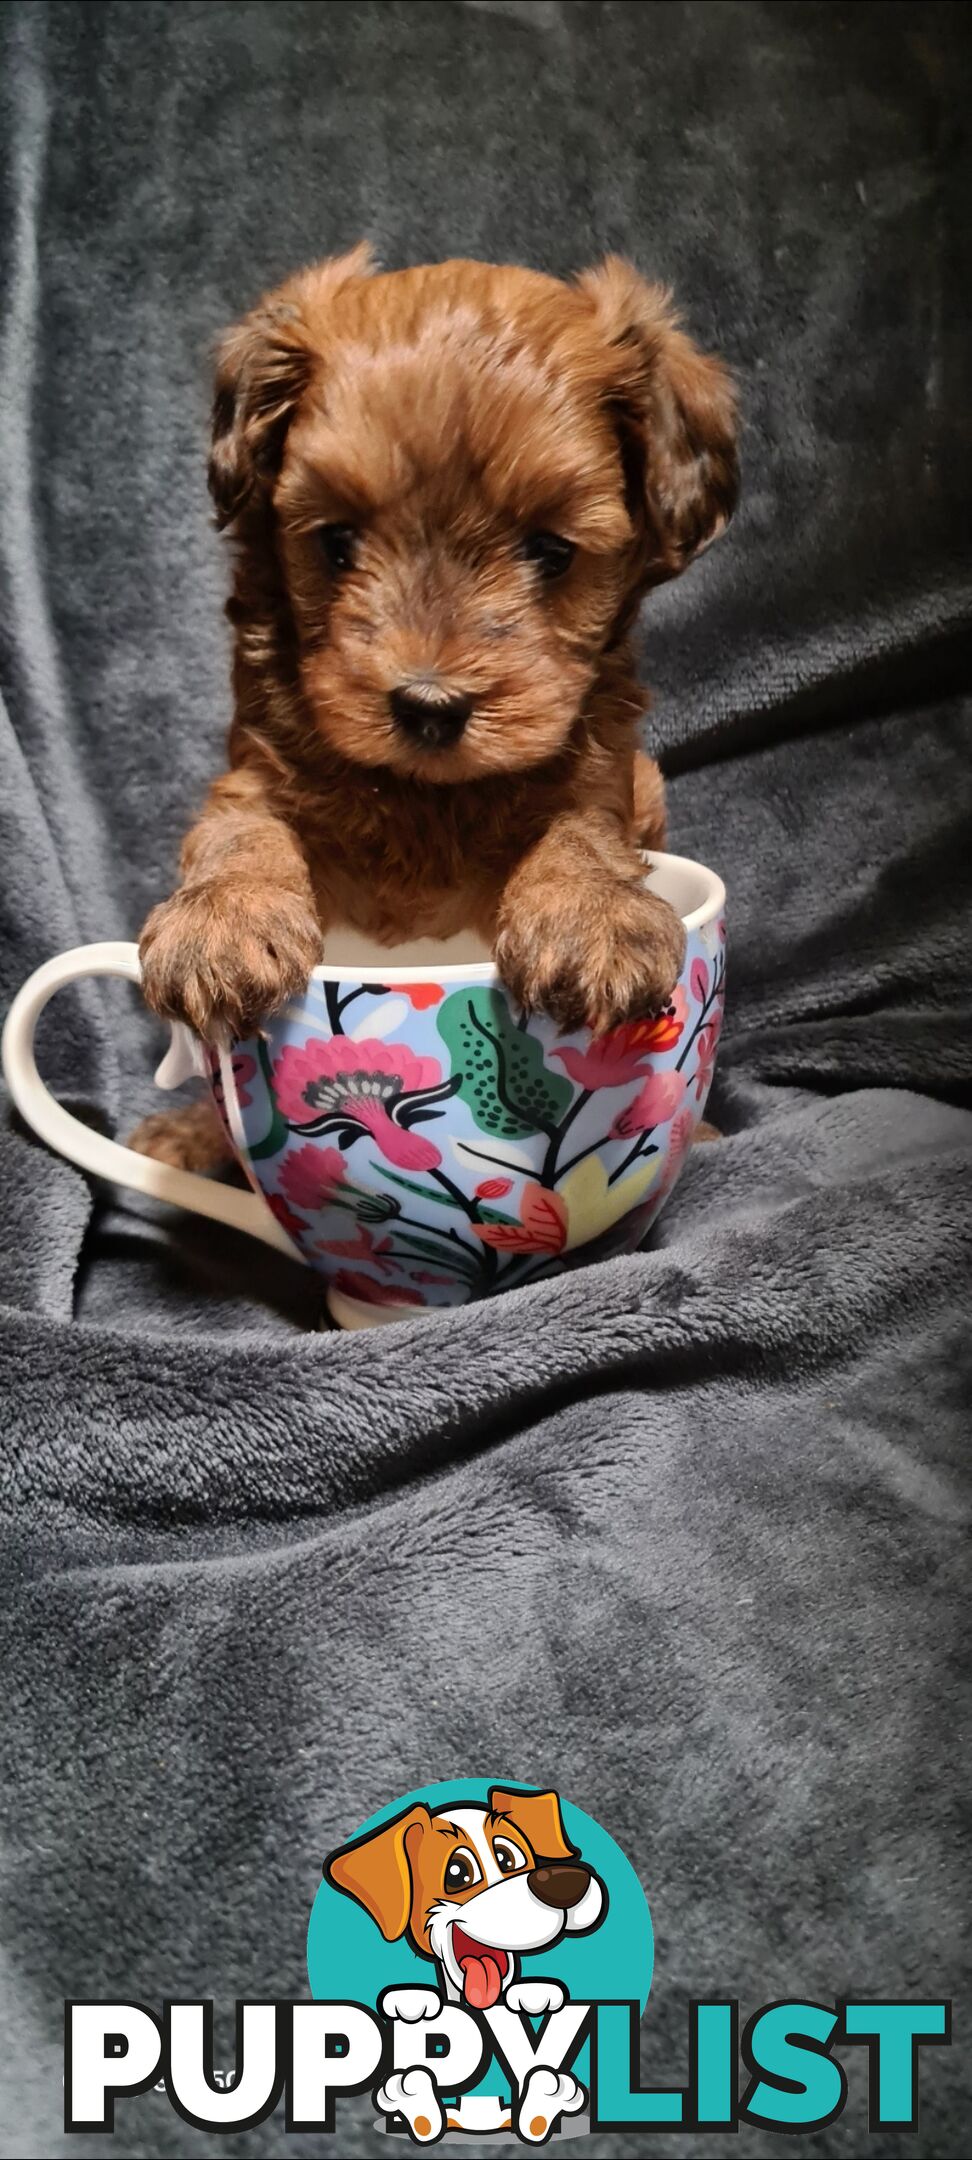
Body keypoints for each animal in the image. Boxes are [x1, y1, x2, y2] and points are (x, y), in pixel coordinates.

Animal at [132, 245, 734, 1175]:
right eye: (336, 543)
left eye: (551, 553)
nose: (429, 705)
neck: (425, 795)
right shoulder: (256, 773)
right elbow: (239, 830)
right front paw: (220, 925)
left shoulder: (607, 773)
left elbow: (582, 830)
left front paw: (590, 917)